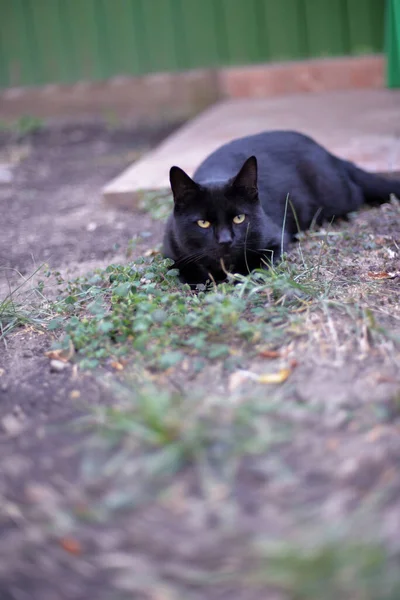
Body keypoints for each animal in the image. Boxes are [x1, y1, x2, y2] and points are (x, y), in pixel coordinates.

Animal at [163, 131, 400, 286]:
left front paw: (235, 280)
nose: (225, 240)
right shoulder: (172, 253)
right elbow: (188, 271)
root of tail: (326, 152)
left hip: (337, 196)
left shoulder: (276, 241)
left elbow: (253, 265)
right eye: (203, 223)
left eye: (239, 218)